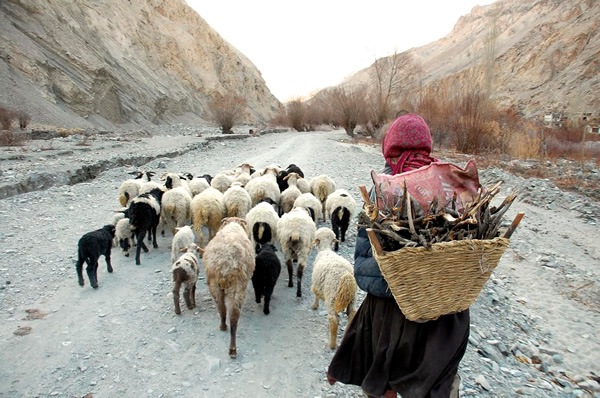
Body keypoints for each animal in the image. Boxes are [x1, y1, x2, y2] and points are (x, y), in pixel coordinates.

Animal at [204, 218, 255, 358]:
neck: (233, 226)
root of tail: (224, 263)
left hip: (215, 286)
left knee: (221, 308)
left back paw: (223, 327)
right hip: (237, 287)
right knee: (234, 315)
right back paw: (232, 348)